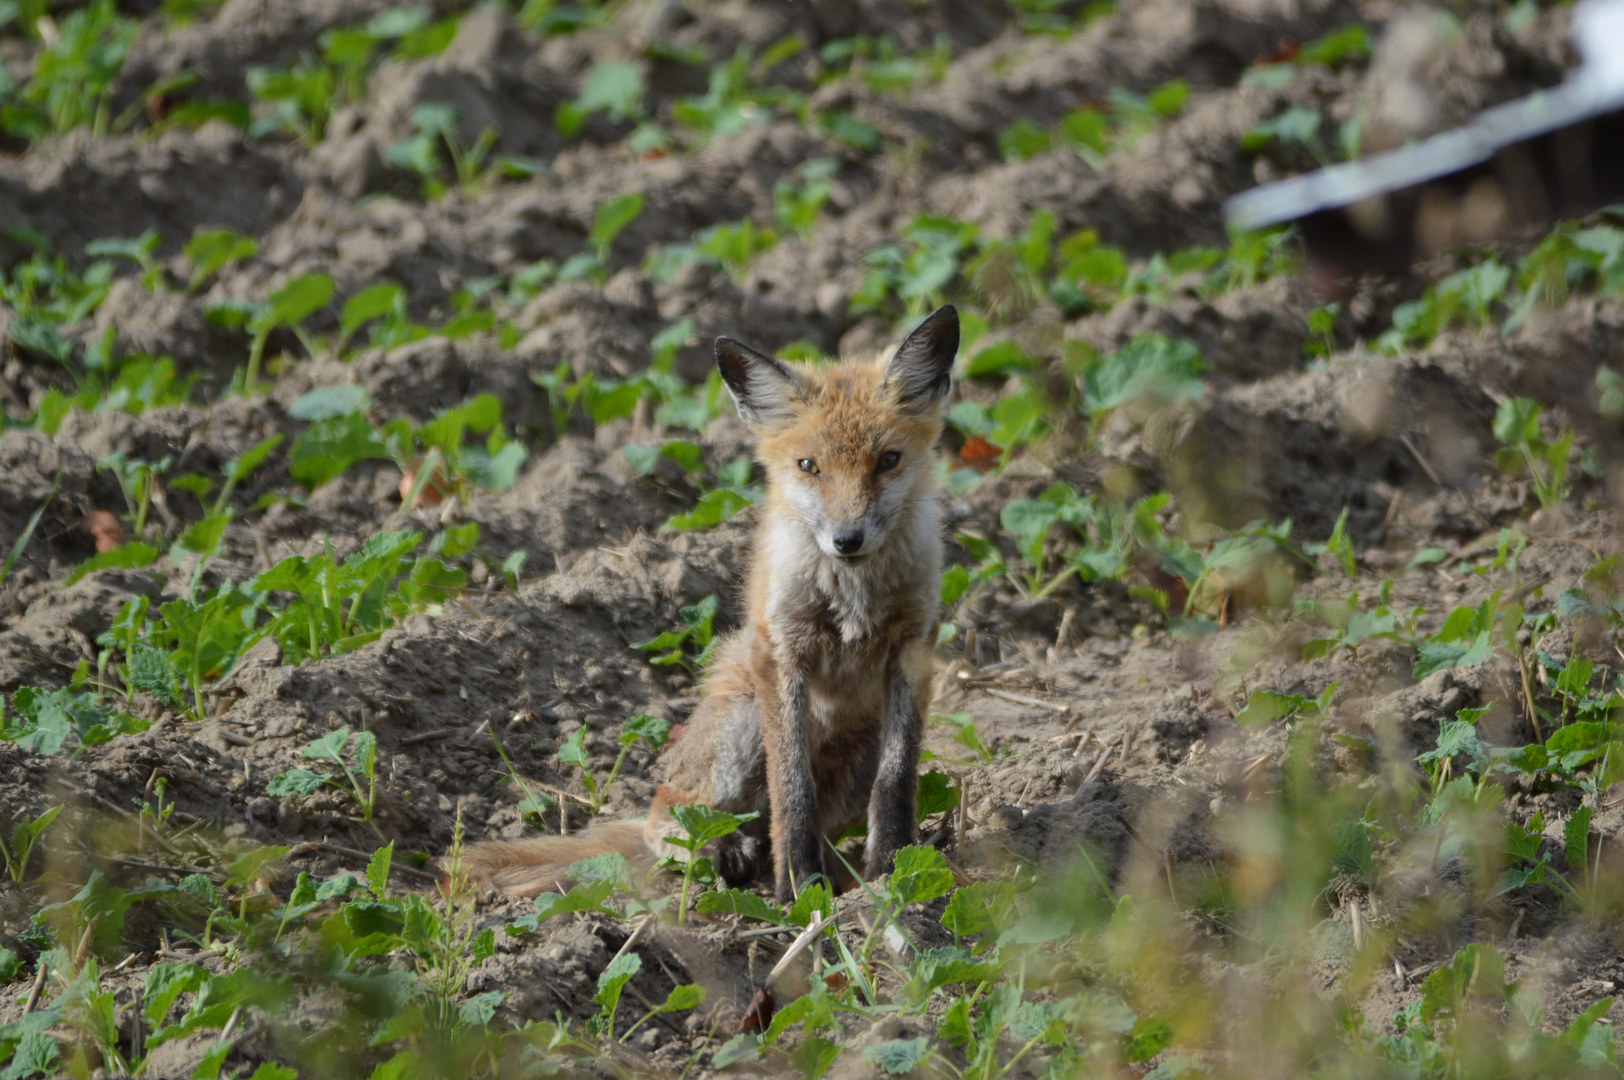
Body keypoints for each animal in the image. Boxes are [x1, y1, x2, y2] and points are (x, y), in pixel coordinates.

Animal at [457, 303, 954, 902]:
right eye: (809, 466)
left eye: (887, 460)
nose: (847, 540)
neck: (852, 593)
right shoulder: (781, 652)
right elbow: (792, 792)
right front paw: (796, 892)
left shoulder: (914, 648)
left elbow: (896, 780)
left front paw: (892, 874)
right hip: (739, 725)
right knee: (677, 818)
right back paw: (723, 854)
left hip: (856, 747)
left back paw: (827, 869)